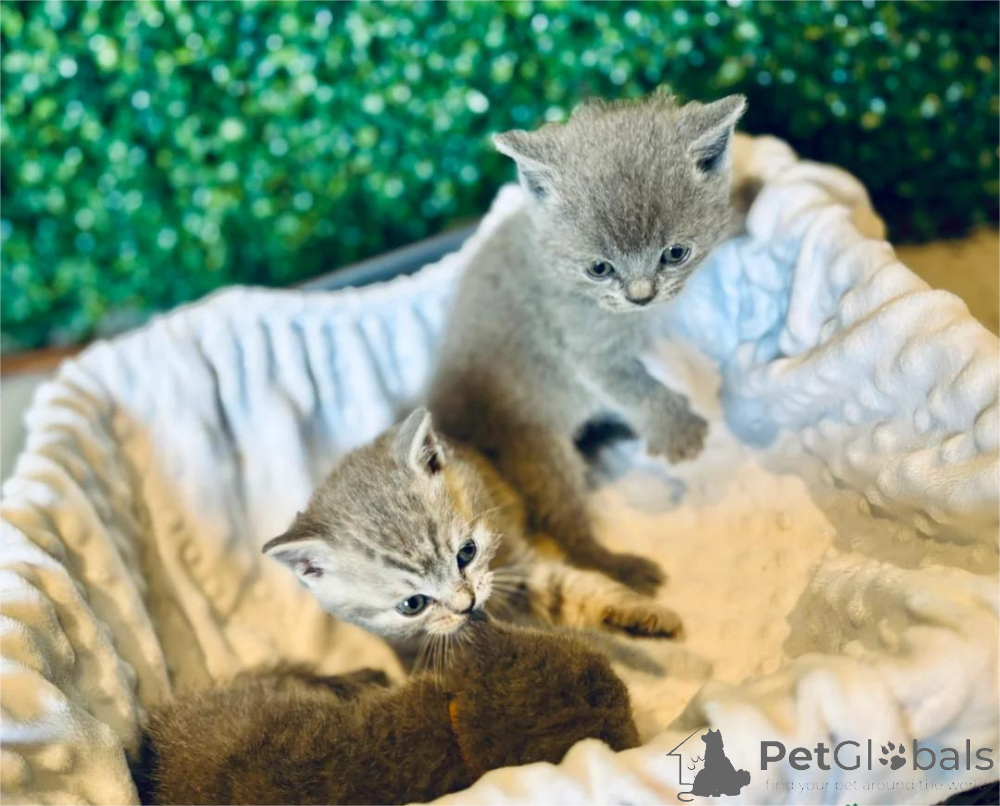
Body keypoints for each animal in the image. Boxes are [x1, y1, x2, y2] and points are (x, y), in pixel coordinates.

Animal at [263, 408, 681, 669]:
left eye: (467, 553)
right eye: (412, 605)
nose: (467, 606)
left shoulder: (513, 567)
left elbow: (574, 590)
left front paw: (644, 617)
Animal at [427, 92, 747, 593]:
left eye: (675, 253)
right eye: (600, 268)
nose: (641, 295)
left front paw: (750, 196)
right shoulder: (586, 347)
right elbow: (633, 383)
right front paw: (675, 429)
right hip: (538, 449)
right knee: (568, 532)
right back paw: (621, 567)